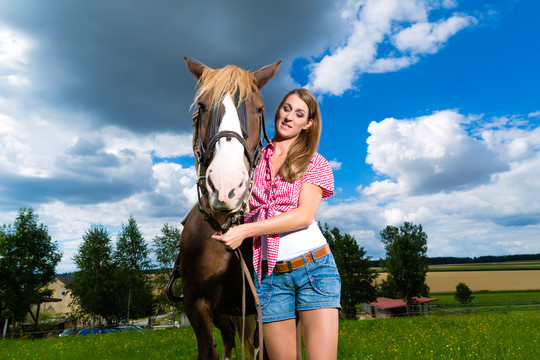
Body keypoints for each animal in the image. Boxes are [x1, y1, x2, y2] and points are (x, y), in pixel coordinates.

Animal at [167, 57, 280, 358]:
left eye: (259, 109)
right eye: (203, 107)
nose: (226, 185)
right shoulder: (197, 306)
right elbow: (209, 350)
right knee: (228, 339)